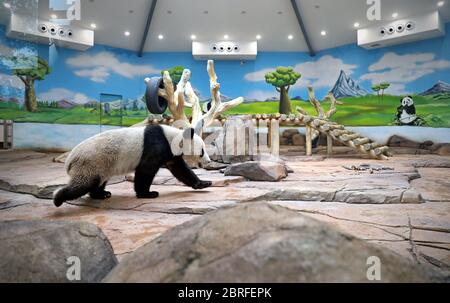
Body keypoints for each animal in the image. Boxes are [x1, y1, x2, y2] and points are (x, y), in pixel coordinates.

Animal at [53, 124, 213, 208]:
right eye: (202, 151)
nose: (208, 161)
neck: (172, 137)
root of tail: (69, 161)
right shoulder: (155, 146)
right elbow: (145, 171)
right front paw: (148, 194)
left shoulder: (171, 155)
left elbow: (180, 170)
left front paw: (203, 183)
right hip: (91, 162)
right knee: (83, 183)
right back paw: (58, 198)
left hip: (102, 165)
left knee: (97, 182)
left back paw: (101, 194)